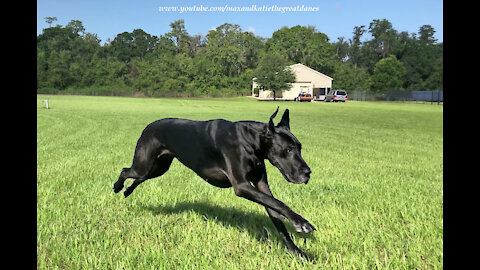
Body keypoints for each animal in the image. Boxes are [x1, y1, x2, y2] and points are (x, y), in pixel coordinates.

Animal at [112, 106, 316, 256]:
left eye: (299, 147)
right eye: (288, 149)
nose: (308, 173)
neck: (251, 141)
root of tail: (149, 126)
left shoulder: (261, 185)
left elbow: (276, 212)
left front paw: (296, 252)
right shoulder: (242, 186)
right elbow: (279, 203)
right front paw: (302, 223)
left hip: (158, 168)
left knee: (139, 178)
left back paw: (127, 191)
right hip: (144, 163)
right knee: (125, 171)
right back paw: (117, 186)